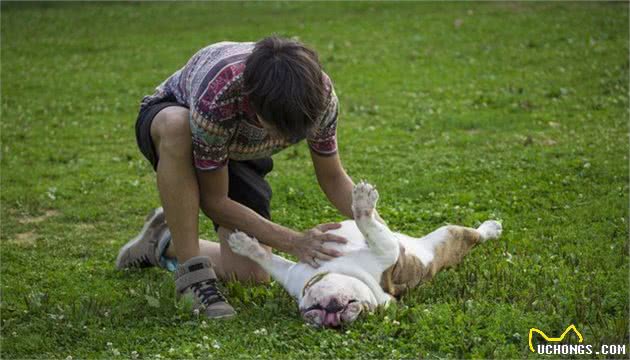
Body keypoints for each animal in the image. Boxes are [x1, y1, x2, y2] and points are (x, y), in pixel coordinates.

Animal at [227, 181, 504, 328]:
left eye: (364, 311)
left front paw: (362, 202)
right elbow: (268, 259)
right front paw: (243, 244)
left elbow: (368, 225)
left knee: (475, 235)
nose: (333, 321)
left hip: (446, 236)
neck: (340, 269)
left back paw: (491, 228)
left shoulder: (386, 250)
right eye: (309, 313)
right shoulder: (290, 274)